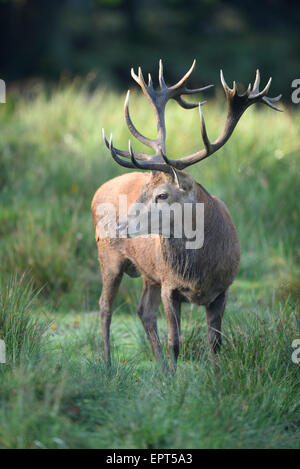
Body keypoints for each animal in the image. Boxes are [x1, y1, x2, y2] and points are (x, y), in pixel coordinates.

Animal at [91, 60, 282, 372]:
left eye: (162, 195)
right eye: (143, 190)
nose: (117, 227)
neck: (199, 273)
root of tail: (98, 190)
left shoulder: (223, 288)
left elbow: (215, 342)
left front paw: (214, 377)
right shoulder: (170, 286)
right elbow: (176, 342)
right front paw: (176, 380)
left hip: (149, 274)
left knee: (143, 311)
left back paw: (159, 370)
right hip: (109, 257)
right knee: (105, 306)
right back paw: (108, 366)